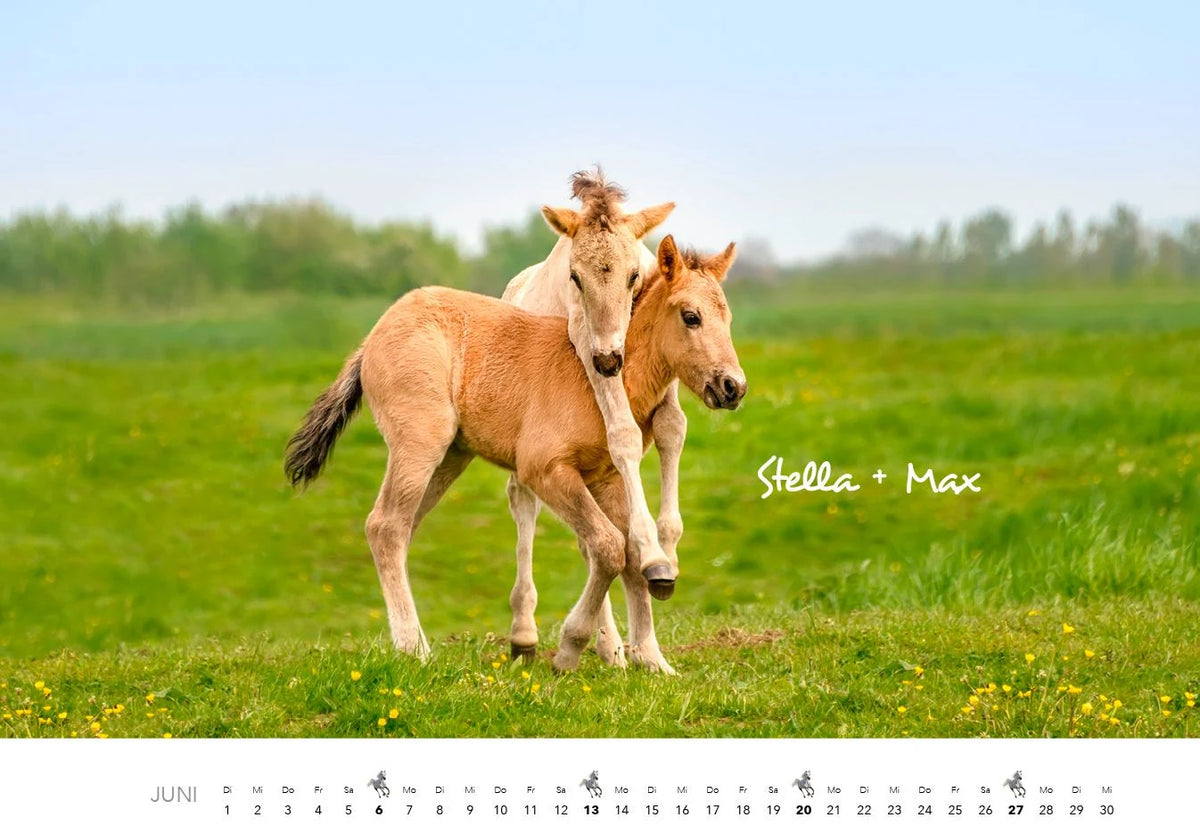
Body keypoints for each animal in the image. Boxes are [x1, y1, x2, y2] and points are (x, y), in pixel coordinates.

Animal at [285, 235, 744, 673]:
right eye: (691, 316)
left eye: (728, 319)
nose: (733, 387)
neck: (603, 379)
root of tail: (372, 337)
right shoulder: (544, 470)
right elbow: (608, 546)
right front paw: (569, 650)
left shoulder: (606, 478)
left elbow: (630, 554)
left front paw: (651, 658)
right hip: (420, 443)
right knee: (386, 526)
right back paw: (414, 648)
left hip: (450, 457)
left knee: (398, 528)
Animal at [502, 169, 687, 667]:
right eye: (575, 277)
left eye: (634, 275)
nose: (609, 360)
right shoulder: (586, 344)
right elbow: (622, 433)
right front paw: (651, 554)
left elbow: (671, 429)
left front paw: (667, 547)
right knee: (527, 503)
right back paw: (546, 637)